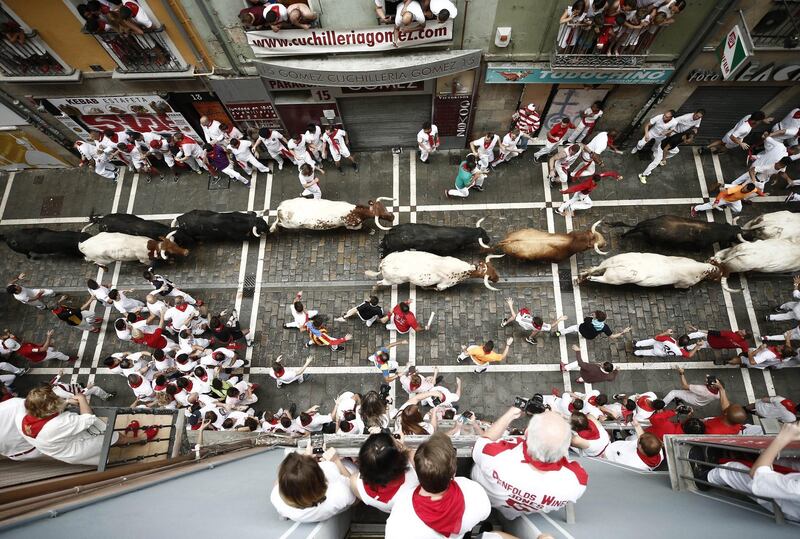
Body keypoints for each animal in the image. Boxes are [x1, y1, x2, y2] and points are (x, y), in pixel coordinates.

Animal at [366, 252, 504, 292]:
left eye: (492, 267)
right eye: (488, 275)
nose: (497, 278)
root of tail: (383, 263)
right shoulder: (443, 286)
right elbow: (434, 288)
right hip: (391, 280)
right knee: (378, 283)